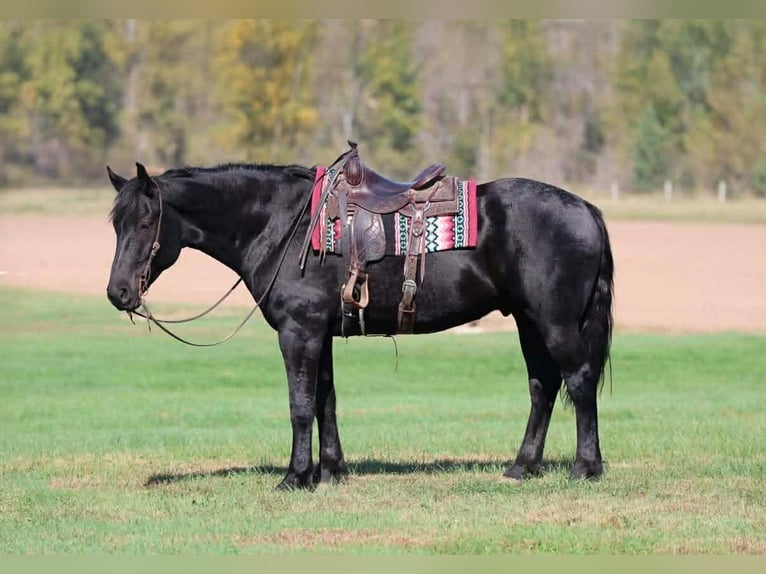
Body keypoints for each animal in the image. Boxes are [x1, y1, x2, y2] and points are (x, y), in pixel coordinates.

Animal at [105, 158, 614, 490]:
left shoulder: (299, 332)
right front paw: (331, 471)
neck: (283, 225)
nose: (119, 293)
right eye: (115, 223)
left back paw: (586, 467)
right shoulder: (320, 333)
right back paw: (521, 467)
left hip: (556, 323)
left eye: (146, 220)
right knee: (543, 386)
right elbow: (325, 402)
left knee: (579, 381)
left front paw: (295, 477)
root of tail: (586, 209)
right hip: (528, 322)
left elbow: (300, 405)